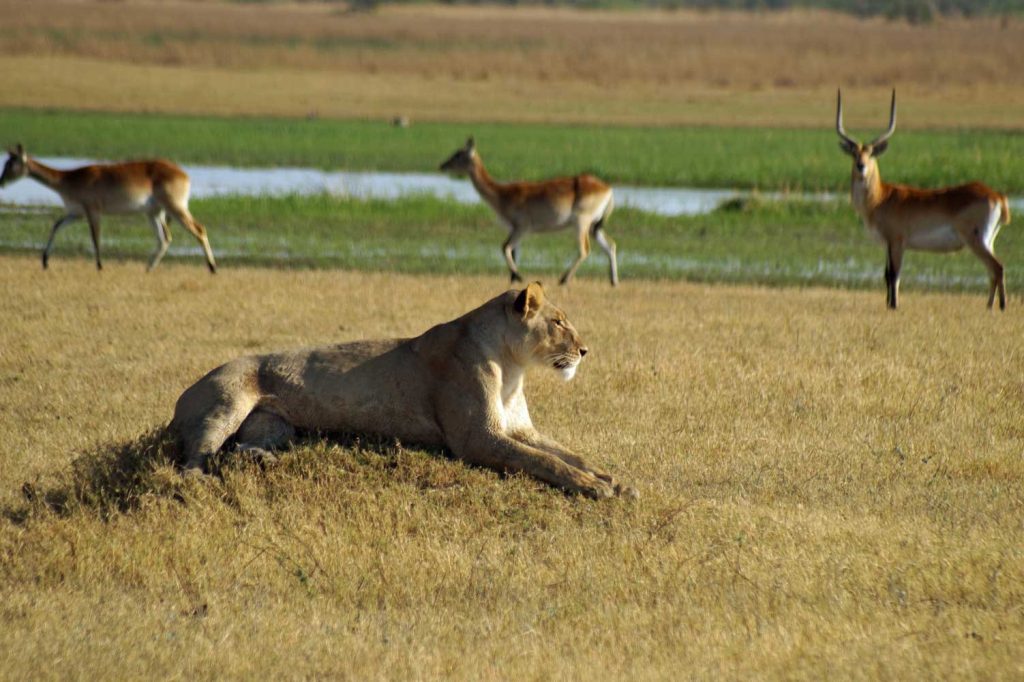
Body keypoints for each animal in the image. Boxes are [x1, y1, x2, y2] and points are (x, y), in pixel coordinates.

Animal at [170, 283, 636, 500]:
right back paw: (201, 480)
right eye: (558, 322)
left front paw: (612, 480)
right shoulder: (478, 439)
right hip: (227, 400)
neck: (512, 367)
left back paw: (262, 461)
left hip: (275, 425)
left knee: (242, 447)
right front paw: (594, 487)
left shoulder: (518, 429)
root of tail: (185, 391)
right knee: (195, 457)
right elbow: (545, 461)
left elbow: (569, 453)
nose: (584, 350)